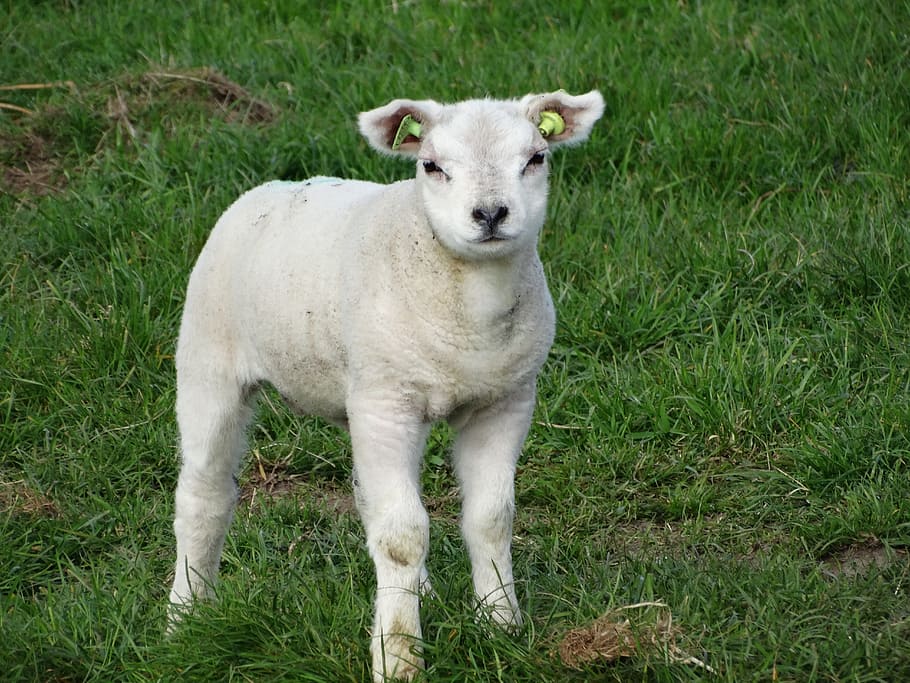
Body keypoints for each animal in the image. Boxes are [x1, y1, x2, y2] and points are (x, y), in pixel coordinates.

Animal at [172, 88, 608, 680]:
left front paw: (501, 625)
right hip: (209, 358)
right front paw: (399, 658)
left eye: (536, 158)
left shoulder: (504, 401)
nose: (490, 214)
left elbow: (490, 519)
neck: (472, 313)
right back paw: (184, 615)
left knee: (371, 497)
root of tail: (273, 188)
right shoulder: (385, 405)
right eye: (431, 165)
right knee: (204, 494)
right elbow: (402, 537)